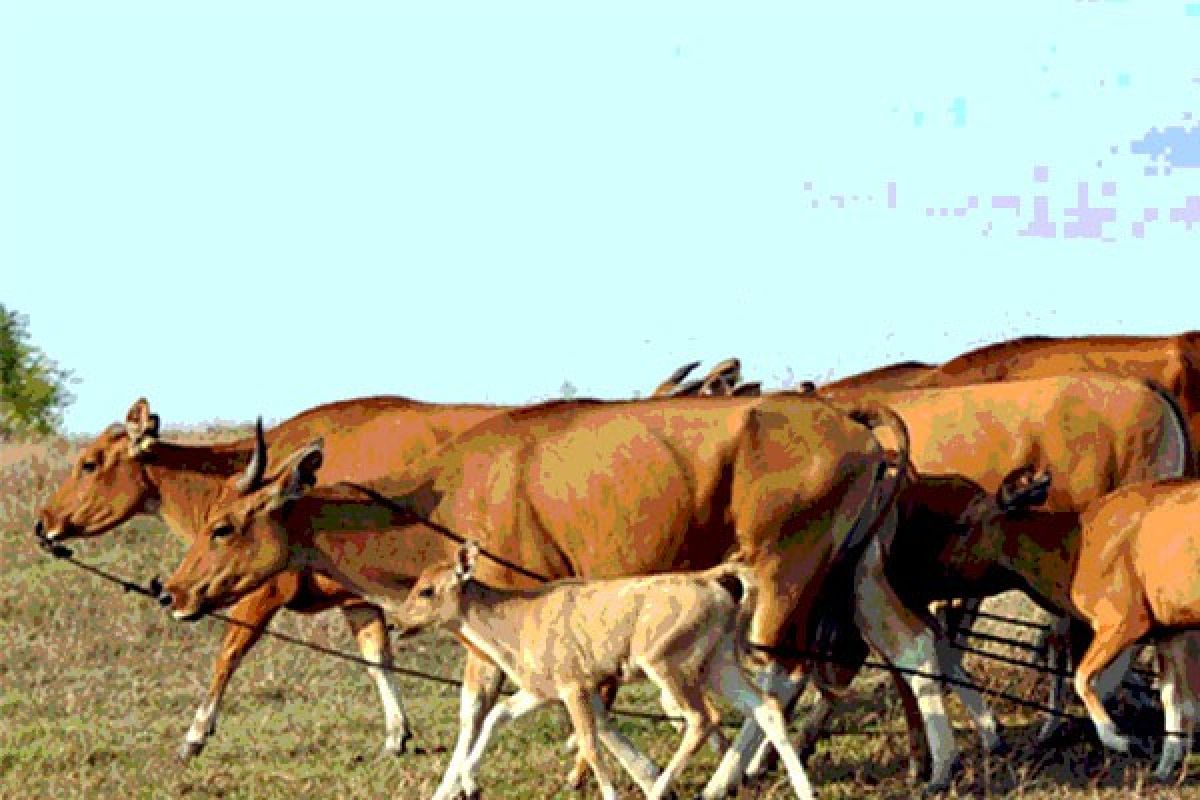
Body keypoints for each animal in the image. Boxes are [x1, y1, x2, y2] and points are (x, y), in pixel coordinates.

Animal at [393, 544, 816, 800]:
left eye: (427, 590)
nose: (397, 623)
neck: (519, 620)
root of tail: (711, 581)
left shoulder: (575, 687)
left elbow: (591, 744)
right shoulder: (541, 691)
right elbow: (498, 714)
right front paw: (469, 783)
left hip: (669, 665)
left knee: (702, 717)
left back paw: (658, 790)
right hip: (719, 664)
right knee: (766, 707)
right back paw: (805, 790)